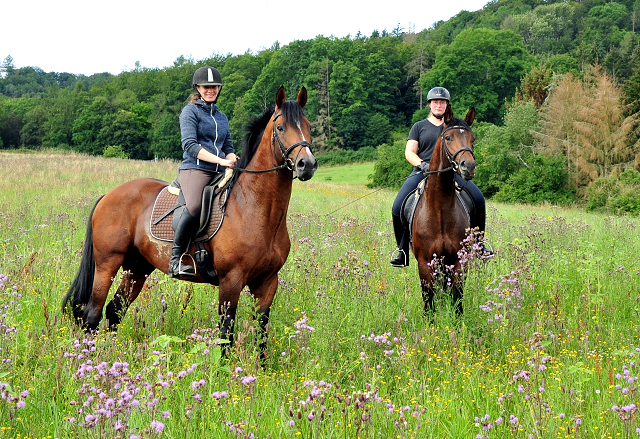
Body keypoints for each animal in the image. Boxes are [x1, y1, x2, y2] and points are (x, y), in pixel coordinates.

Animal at [62, 85, 318, 358]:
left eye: (308, 126)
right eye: (280, 128)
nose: (307, 164)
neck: (255, 209)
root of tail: (108, 196)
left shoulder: (268, 282)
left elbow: (261, 332)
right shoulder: (231, 281)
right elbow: (226, 331)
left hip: (137, 268)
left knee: (114, 310)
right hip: (107, 264)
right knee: (92, 314)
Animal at [412, 105, 478, 320]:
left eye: (472, 139)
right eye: (448, 137)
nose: (469, 166)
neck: (440, 207)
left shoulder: (458, 261)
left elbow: (457, 297)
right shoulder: (425, 263)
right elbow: (429, 301)